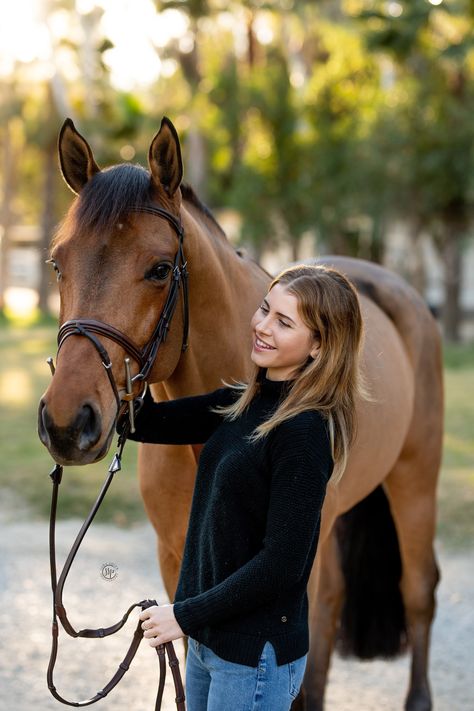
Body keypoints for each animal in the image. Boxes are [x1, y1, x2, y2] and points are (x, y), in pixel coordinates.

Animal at [38, 117, 444, 711]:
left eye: (160, 269)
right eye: (57, 263)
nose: (68, 422)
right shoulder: (176, 559)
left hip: (415, 482)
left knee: (417, 591)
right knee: (331, 603)